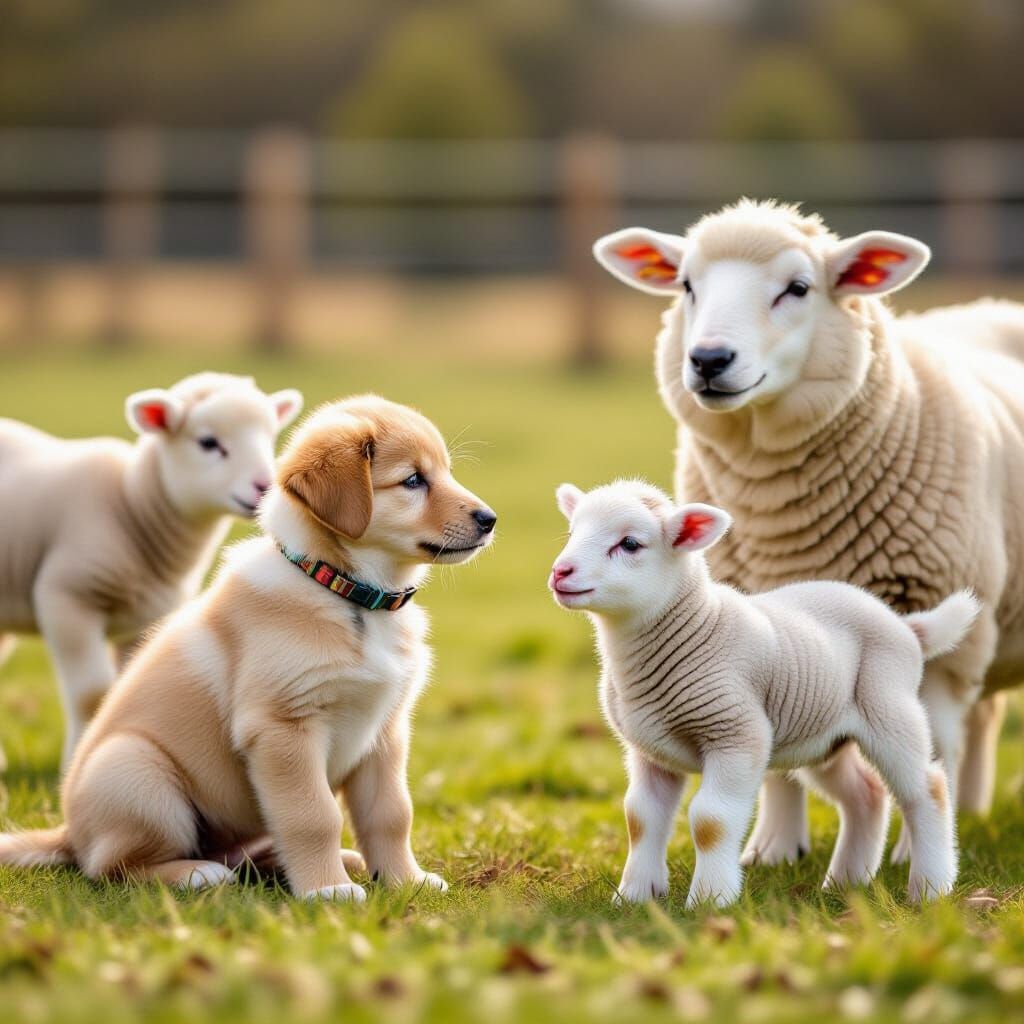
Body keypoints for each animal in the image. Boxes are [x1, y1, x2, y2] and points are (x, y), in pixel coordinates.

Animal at [0, 372, 302, 769]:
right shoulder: (66, 599)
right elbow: (92, 694)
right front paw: (75, 765)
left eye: (269, 437)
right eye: (208, 442)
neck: (131, 502)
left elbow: (125, 687)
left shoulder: (142, 621)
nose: (264, 486)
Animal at [550, 480, 976, 906]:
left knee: (927, 787)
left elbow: (711, 820)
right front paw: (634, 896)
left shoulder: (737, 735)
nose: (560, 571)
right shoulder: (650, 751)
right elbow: (639, 818)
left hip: (889, 707)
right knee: (866, 793)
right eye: (571, 534)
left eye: (630, 544)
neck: (694, 626)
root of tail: (907, 627)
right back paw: (846, 881)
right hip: (826, 736)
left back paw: (930, 888)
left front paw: (709, 900)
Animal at [593, 200, 1024, 866]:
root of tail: (996, 305)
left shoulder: (942, 643)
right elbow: (777, 764)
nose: (709, 359)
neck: (781, 520)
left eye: (798, 288)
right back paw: (974, 808)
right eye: (687, 285)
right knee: (987, 716)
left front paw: (913, 854)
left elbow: (935, 747)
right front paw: (773, 848)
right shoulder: (763, 635)